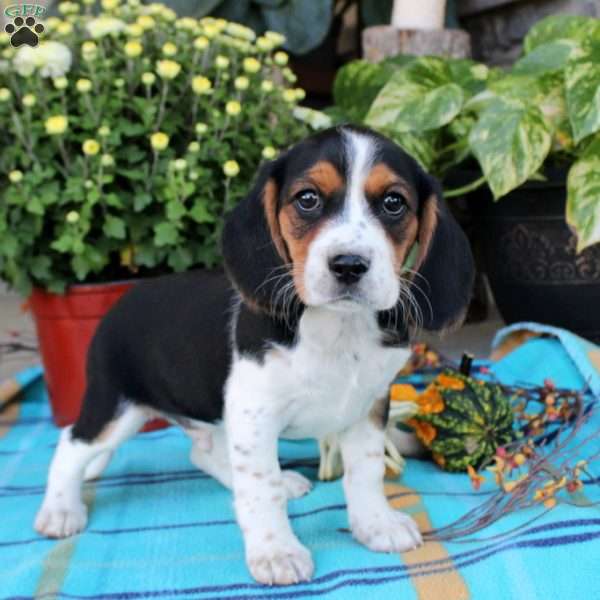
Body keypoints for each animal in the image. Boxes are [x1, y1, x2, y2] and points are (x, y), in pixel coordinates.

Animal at [34, 124, 474, 584]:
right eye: (307, 199)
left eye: (393, 203)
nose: (349, 265)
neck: (338, 329)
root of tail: (116, 307)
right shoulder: (254, 413)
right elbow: (260, 489)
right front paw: (276, 551)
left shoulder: (367, 406)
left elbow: (366, 473)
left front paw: (376, 524)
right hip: (116, 406)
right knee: (70, 445)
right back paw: (60, 510)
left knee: (203, 452)